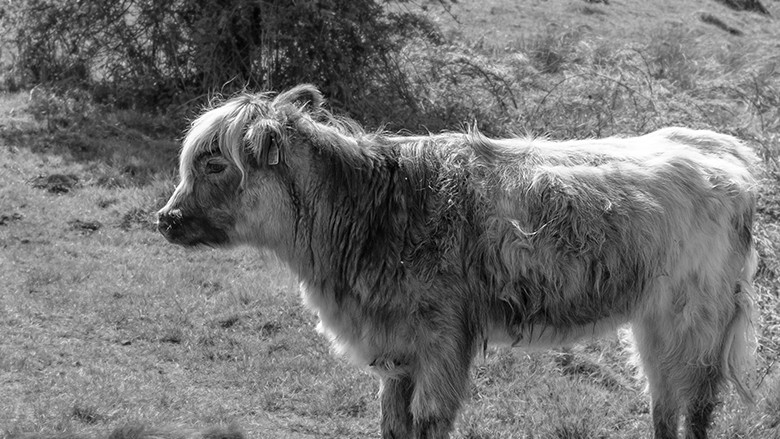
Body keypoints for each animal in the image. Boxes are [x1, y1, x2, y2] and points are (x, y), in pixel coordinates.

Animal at [157, 84, 758, 439]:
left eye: (214, 163)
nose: (165, 218)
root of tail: (722, 148)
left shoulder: (442, 337)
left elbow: (427, 421)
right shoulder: (397, 348)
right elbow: (394, 422)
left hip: (696, 320)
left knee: (696, 405)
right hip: (653, 320)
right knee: (664, 403)